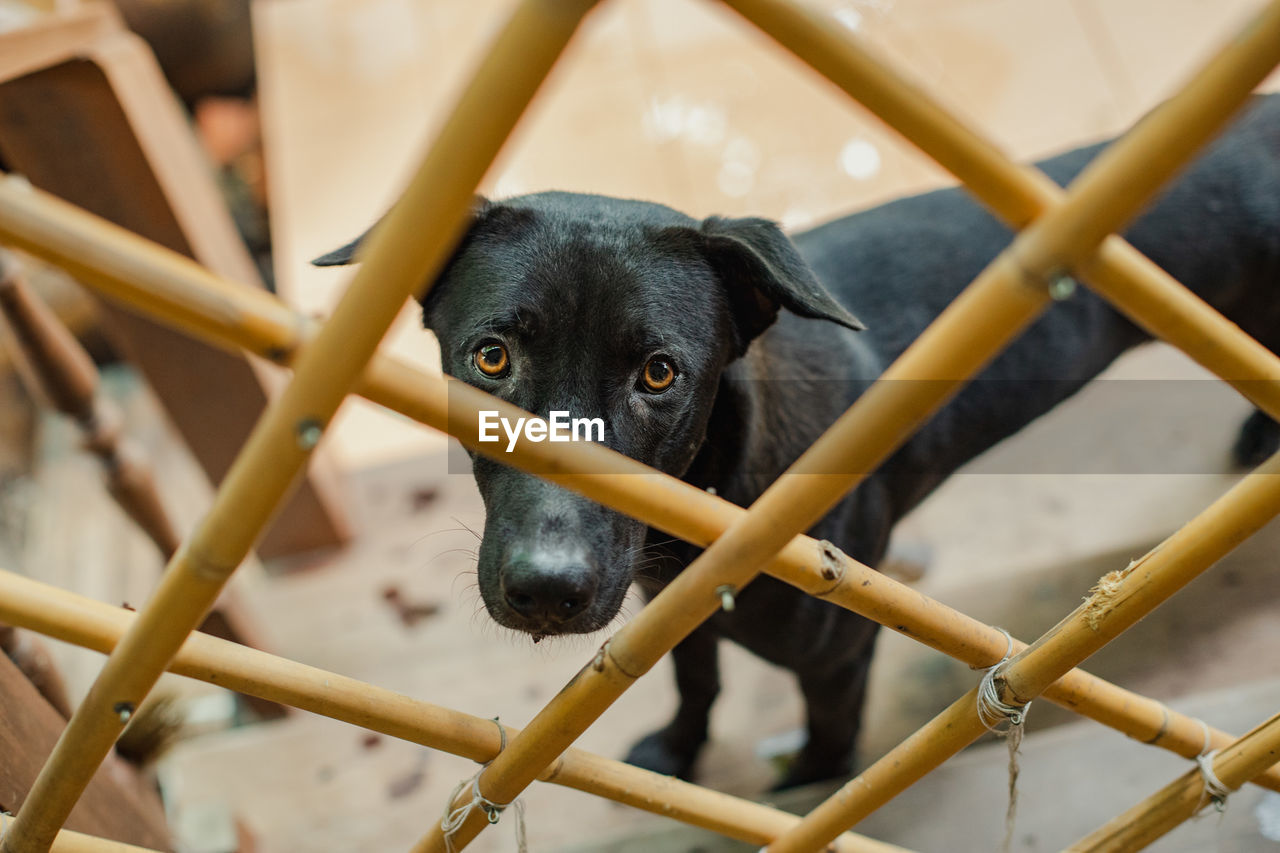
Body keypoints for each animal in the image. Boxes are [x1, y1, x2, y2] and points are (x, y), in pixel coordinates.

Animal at [312, 92, 1280, 783]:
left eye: (659, 374)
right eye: (491, 356)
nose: (549, 591)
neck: (718, 485)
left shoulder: (841, 654)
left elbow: (828, 743)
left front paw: (805, 782)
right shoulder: (669, 609)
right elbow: (694, 676)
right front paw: (678, 749)